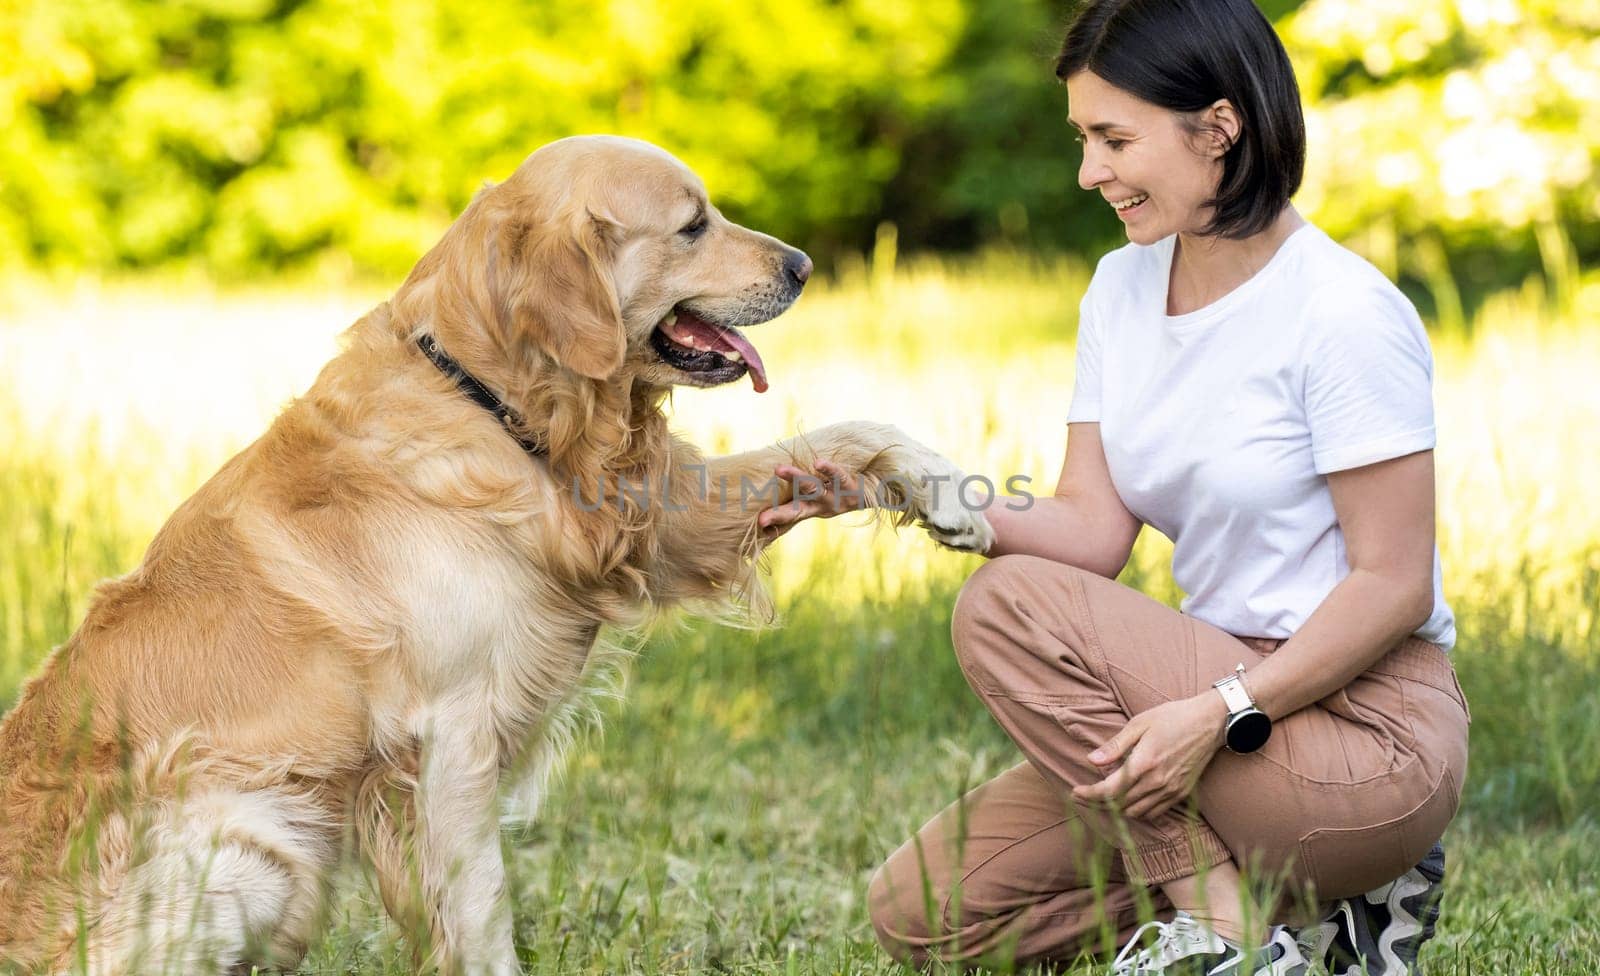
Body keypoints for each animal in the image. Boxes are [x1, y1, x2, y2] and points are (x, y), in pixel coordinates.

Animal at [0, 138, 992, 972]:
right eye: (692, 224)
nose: (805, 266)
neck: (493, 404)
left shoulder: (663, 518)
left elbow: (842, 435)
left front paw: (948, 490)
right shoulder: (449, 734)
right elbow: (481, 908)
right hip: (255, 840)